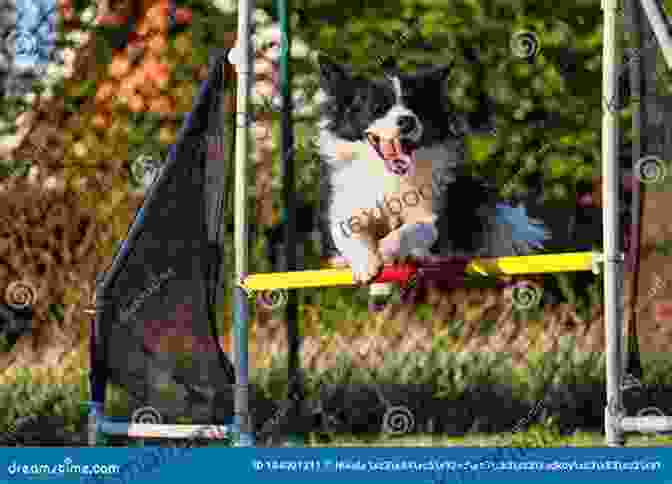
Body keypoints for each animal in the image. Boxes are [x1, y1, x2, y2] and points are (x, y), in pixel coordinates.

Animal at [316, 54, 552, 308]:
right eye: (378, 108)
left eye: (416, 107)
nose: (407, 121)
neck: (391, 174)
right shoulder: (344, 207)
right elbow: (350, 232)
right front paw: (366, 265)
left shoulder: (433, 215)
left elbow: (415, 228)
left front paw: (388, 247)